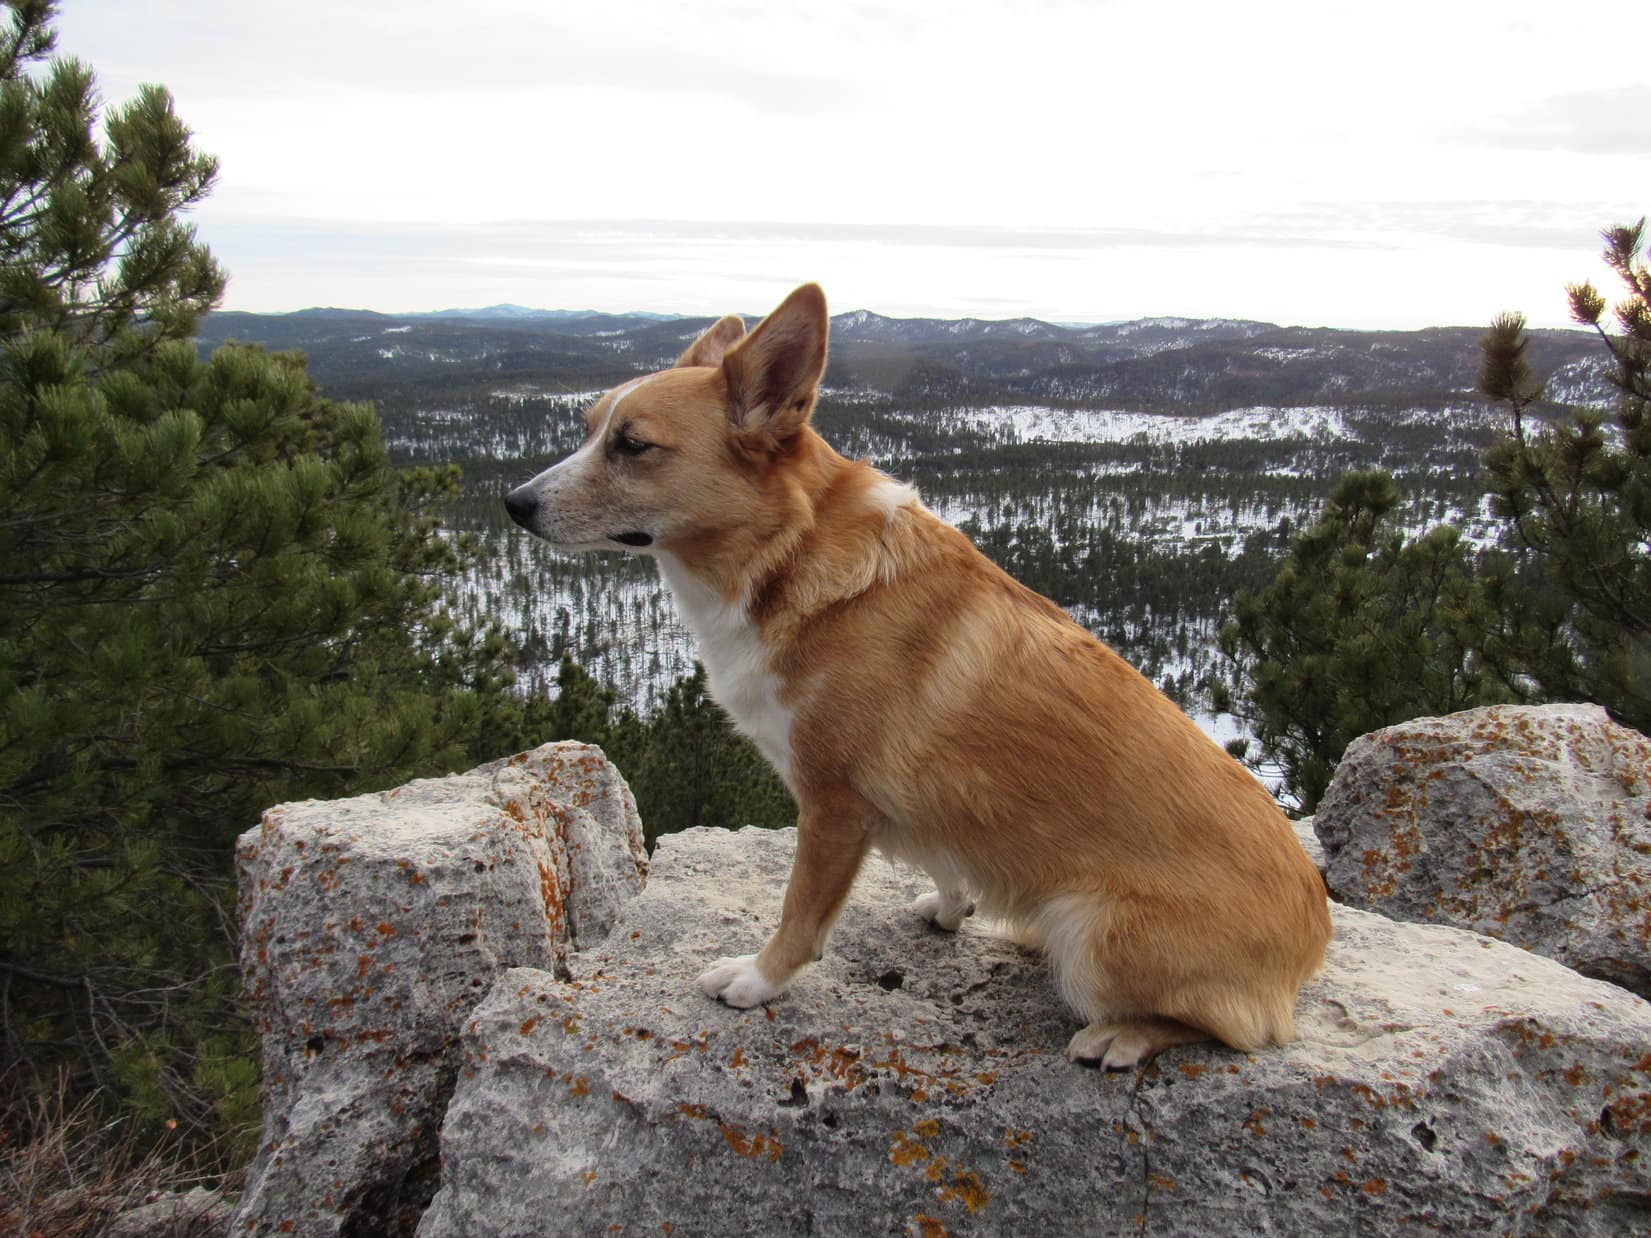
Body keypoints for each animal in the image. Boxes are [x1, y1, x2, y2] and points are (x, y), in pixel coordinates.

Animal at [504, 284, 1331, 1069]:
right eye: (588, 429)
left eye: (633, 445)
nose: (512, 504)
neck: (784, 555)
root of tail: (1311, 943)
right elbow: (945, 859)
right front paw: (950, 906)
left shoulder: (832, 807)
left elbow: (799, 916)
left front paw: (758, 980)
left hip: (1093, 936)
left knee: (1235, 1030)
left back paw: (1121, 1035)